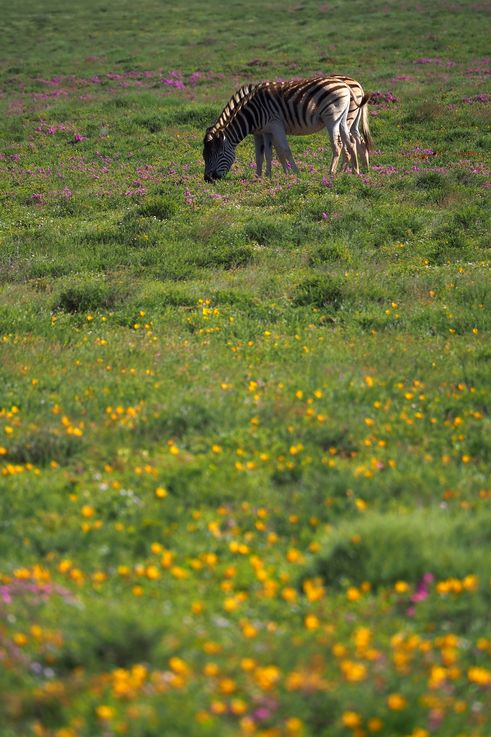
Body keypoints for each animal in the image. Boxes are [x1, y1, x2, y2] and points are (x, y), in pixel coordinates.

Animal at [203, 77, 370, 181]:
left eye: (217, 154)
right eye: (205, 156)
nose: (208, 179)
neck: (252, 113)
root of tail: (347, 85)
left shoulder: (275, 125)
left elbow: (284, 151)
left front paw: (295, 173)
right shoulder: (264, 131)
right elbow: (265, 154)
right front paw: (262, 176)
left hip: (333, 118)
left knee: (339, 144)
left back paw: (332, 173)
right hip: (344, 118)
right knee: (353, 141)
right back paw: (357, 171)